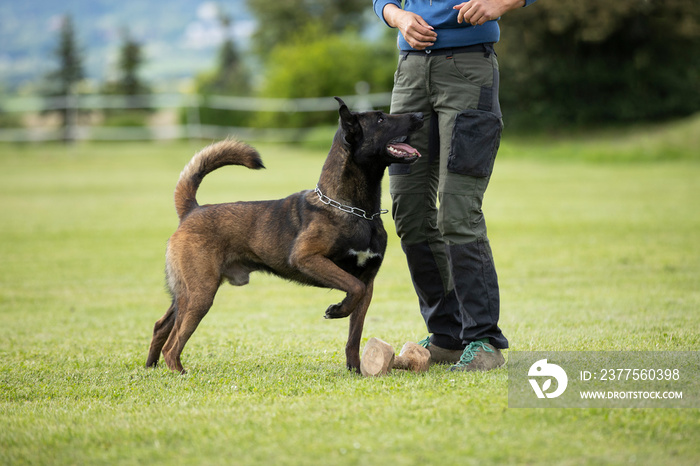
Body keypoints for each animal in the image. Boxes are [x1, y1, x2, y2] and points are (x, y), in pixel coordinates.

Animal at [145, 98, 424, 374]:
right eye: (380, 119)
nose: (420, 115)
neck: (354, 210)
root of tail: (192, 210)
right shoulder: (308, 259)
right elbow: (352, 288)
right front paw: (337, 310)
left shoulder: (368, 281)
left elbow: (354, 334)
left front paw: (355, 369)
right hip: (200, 294)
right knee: (173, 342)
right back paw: (178, 371)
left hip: (186, 293)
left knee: (161, 325)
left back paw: (151, 366)